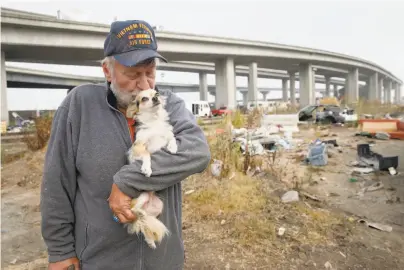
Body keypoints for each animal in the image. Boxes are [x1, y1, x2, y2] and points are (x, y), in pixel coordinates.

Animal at [124, 88, 178, 249]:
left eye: (156, 94)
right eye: (144, 99)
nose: (155, 98)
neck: (154, 122)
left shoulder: (167, 135)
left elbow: (171, 137)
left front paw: (173, 147)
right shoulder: (137, 148)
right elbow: (147, 154)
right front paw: (147, 169)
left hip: (158, 206)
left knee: (144, 223)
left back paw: (150, 240)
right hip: (141, 197)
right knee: (135, 213)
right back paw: (139, 214)